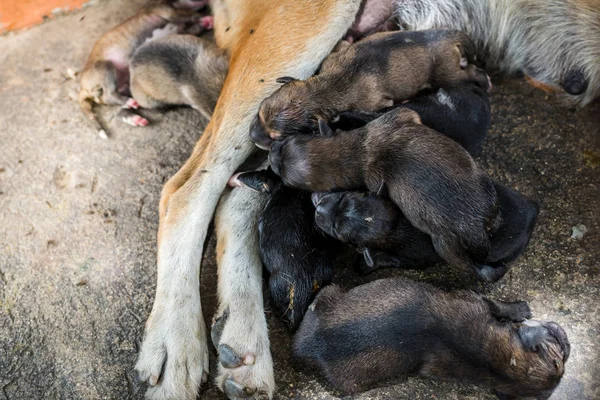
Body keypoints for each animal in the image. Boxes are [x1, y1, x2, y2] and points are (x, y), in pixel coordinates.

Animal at [248, 28, 488, 149]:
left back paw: (485, 81)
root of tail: (447, 35)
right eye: (259, 113)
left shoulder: (375, 103)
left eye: (276, 137)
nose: (251, 138)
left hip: (447, 73)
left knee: (471, 72)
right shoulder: (332, 59)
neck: (326, 88)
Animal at [296, 276, 572, 398]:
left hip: (327, 294)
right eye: (557, 361)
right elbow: (495, 303)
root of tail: (305, 348)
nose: (567, 344)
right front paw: (520, 308)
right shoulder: (471, 298)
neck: (492, 361)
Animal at [314, 181, 540, 278]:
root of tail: (533, 210)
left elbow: (390, 259)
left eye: (336, 230)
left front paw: (365, 264)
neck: (396, 223)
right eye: (346, 197)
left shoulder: (413, 258)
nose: (318, 208)